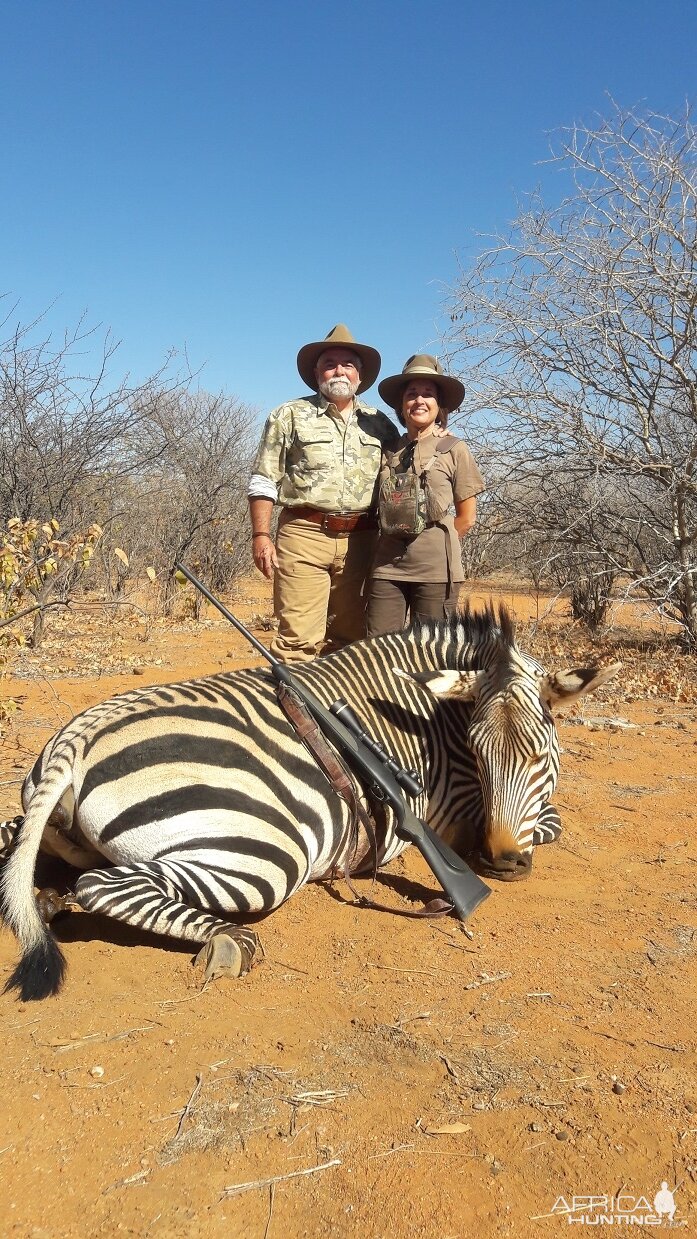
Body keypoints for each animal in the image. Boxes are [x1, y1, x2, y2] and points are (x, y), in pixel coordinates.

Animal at [0, 604, 616, 1001]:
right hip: (264, 855)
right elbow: (552, 823)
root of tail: (77, 740)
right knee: (103, 887)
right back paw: (229, 943)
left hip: (43, 826)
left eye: (539, 754)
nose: (503, 863)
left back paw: (44, 899)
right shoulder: (463, 812)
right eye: (479, 754)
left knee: (19, 858)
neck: (433, 718)